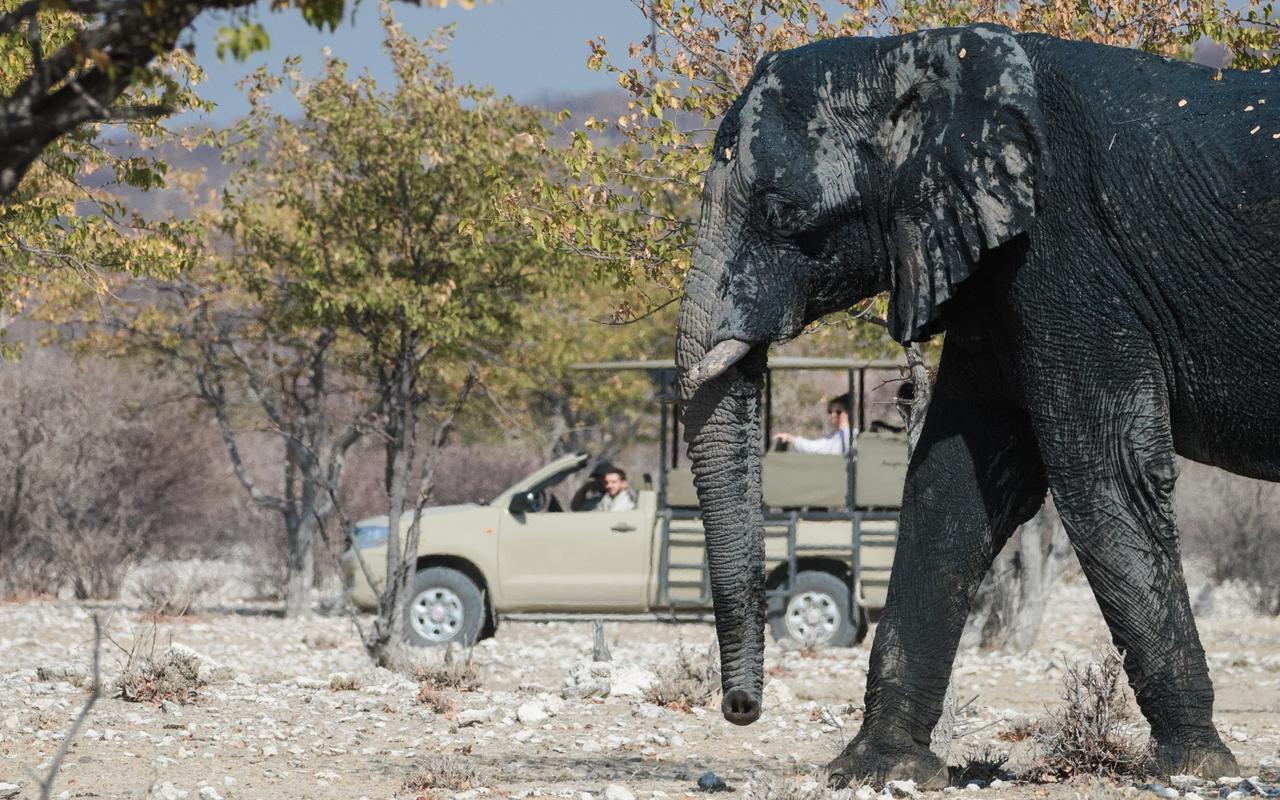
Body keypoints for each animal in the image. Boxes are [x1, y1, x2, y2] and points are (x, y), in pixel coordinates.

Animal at [675, 23, 1274, 788]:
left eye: (785, 213)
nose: (742, 709)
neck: (911, 55)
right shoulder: (987, 265)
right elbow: (950, 484)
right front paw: (877, 769)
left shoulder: (1066, 252)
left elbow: (1107, 476)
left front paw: (1196, 764)